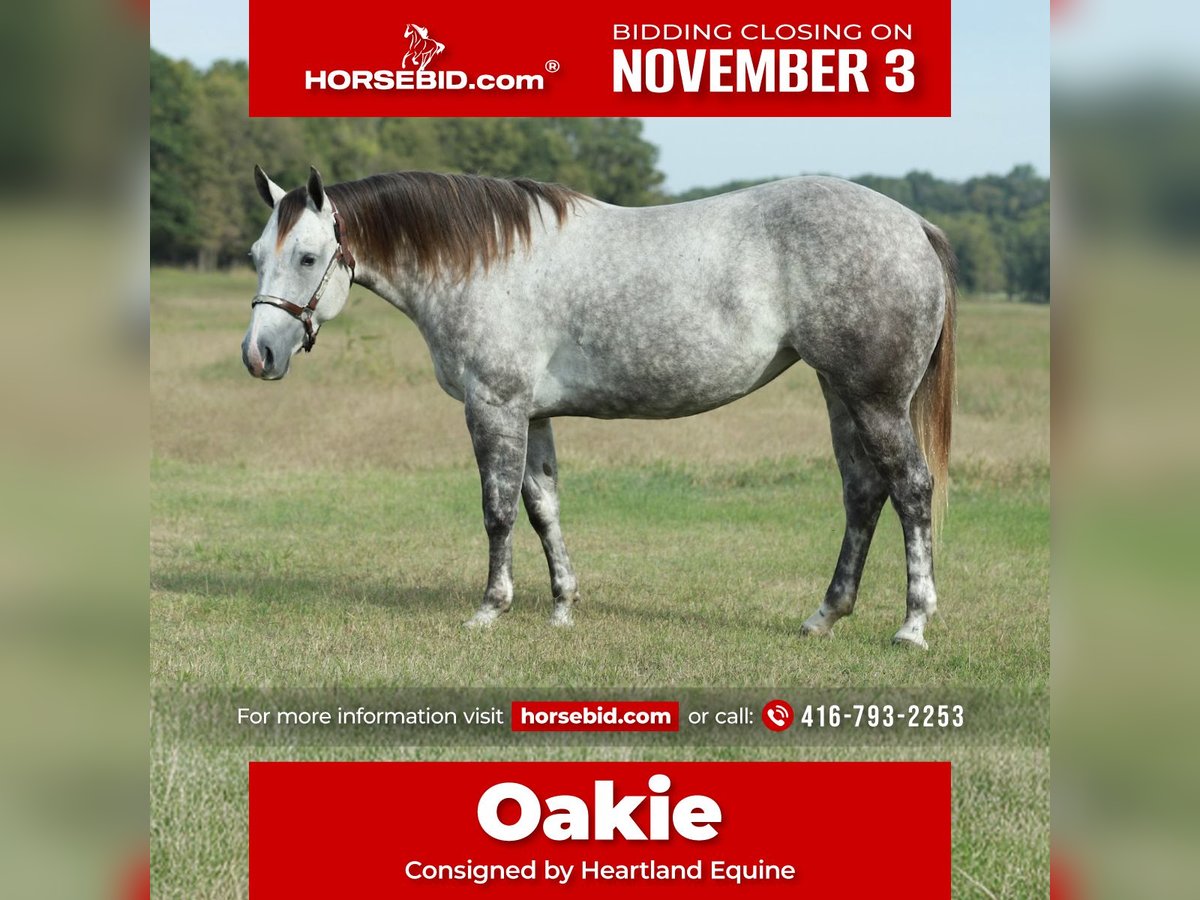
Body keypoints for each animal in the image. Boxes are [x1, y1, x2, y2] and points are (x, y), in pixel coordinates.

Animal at [244, 166, 956, 648]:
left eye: (307, 256)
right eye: (255, 256)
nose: (258, 355)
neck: (486, 263)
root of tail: (913, 225)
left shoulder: (494, 406)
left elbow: (498, 512)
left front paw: (490, 607)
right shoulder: (532, 415)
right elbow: (543, 507)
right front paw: (562, 606)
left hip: (876, 400)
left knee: (911, 489)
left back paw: (912, 624)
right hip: (839, 393)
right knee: (862, 492)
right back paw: (824, 615)